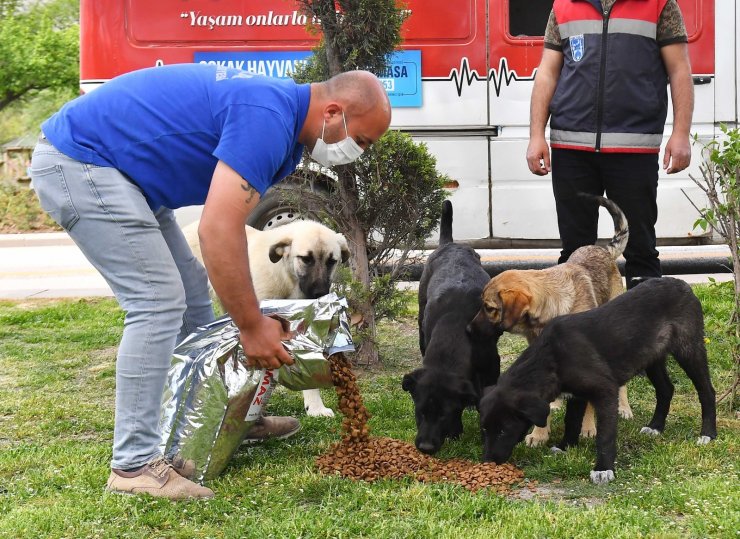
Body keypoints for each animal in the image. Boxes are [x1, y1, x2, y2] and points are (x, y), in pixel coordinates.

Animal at [182, 218, 350, 418]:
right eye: (306, 259)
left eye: (332, 261)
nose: (320, 294)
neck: (286, 279)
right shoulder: (261, 334)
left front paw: (315, 406)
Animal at [404, 201, 502, 456]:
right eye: (420, 412)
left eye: (443, 415)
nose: (426, 447)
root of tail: (449, 244)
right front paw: (457, 432)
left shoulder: (492, 365)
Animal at [472, 196, 632, 446]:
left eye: (489, 308)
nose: (468, 329)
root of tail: (602, 249)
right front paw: (539, 434)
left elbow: (589, 402)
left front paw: (588, 428)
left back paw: (624, 408)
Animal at [480, 278, 716, 486]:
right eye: (484, 430)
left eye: (503, 431)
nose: (487, 462)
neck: (552, 357)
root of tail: (682, 283)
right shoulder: (576, 394)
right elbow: (571, 421)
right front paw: (565, 446)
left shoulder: (605, 392)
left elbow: (605, 435)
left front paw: (603, 469)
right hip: (651, 357)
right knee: (666, 389)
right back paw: (655, 427)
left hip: (689, 348)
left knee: (706, 391)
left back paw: (708, 434)